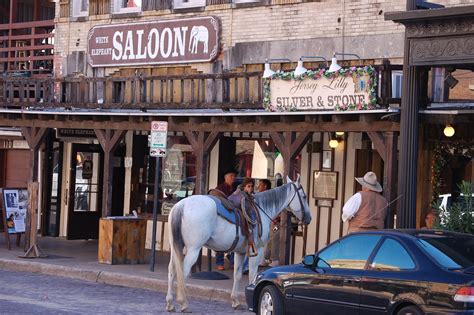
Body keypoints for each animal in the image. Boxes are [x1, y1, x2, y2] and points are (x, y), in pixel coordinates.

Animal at [166, 177, 312, 312]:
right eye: (304, 196)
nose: (309, 218)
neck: (263, 209)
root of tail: (181, 206)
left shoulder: (240, 252)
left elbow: (237, 275)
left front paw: (235, 301)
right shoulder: (257, 251)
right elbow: (253, 275)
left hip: (176, 247)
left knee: (172, 270)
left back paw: (170, 303)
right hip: (193, 249)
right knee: (183, 271)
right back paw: (183, 303)